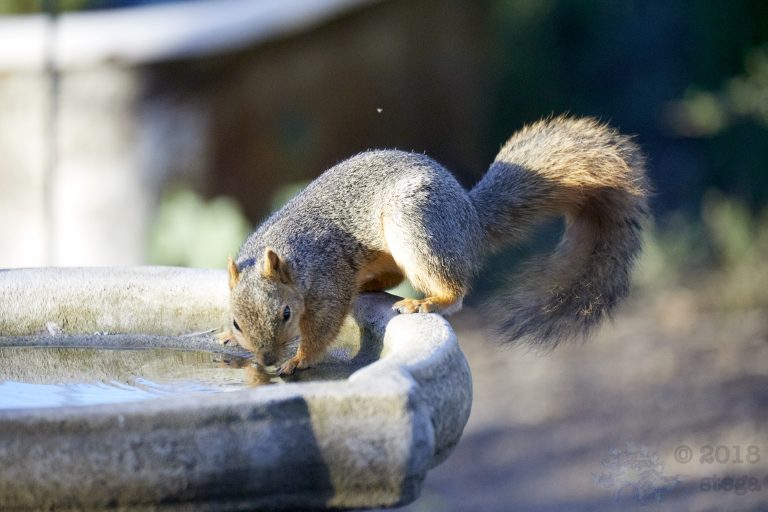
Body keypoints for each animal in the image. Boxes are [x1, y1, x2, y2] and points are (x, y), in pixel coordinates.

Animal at [223, 116, 649, 375]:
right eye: (236, 320)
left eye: (285, 314)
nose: (265, 360)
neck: (290, 254)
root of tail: (470, 220)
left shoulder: (328, 278)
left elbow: (325, 325)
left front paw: (298, 360)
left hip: (417, 229)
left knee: (452, 291)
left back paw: (427, 302)